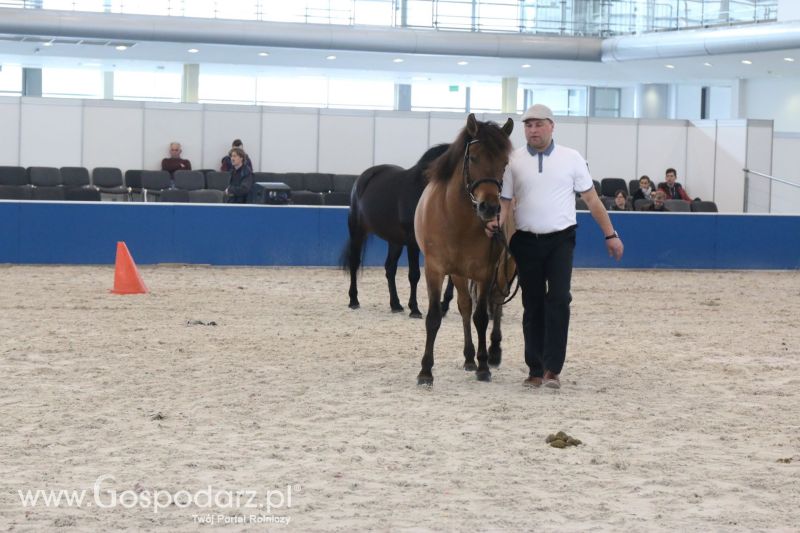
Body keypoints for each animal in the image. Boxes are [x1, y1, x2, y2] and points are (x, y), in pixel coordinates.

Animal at [412, 114, 512, 384]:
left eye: (505, 162)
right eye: (473, 157)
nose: (490, 208)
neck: (457, 220)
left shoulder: (485, 271)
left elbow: (482, 317)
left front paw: (484, 366)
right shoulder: (435, 270)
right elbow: (435, 317)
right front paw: (425, 371)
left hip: (505, 267)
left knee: (496, 304)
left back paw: (494, 352)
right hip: (458, 274)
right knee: (465, 306)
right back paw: (469, 357)